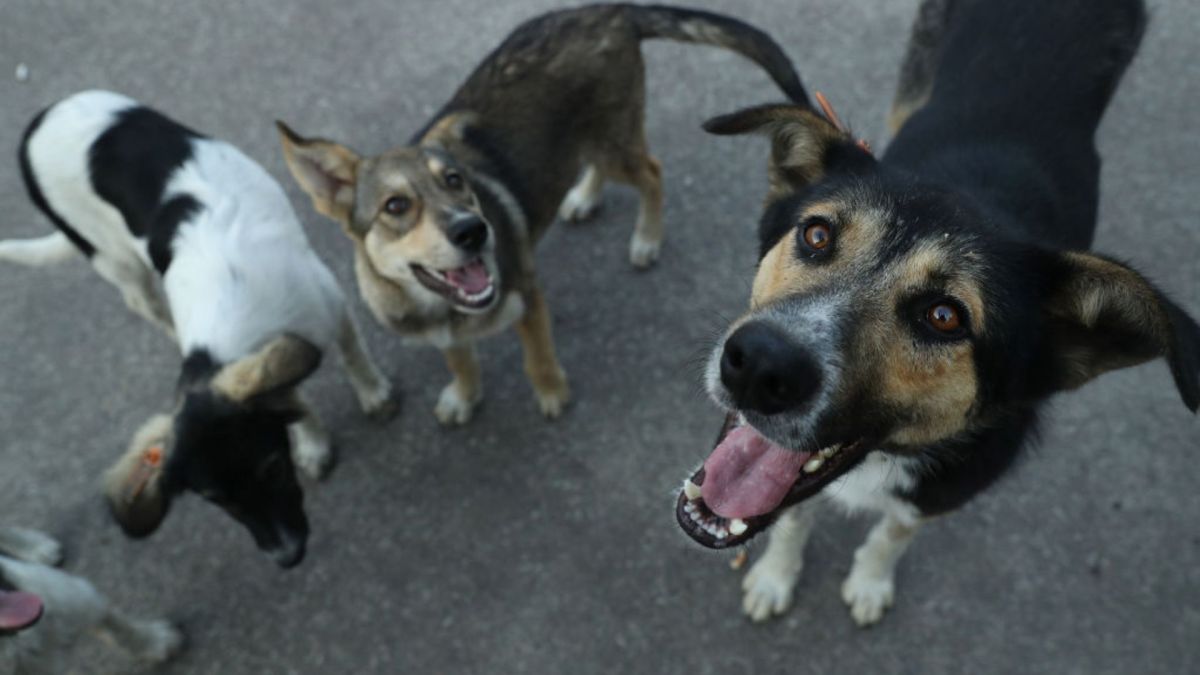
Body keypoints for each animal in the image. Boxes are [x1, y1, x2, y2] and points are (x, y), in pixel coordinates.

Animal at [2, 88, 400, 562]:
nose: (286, 557)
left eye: (271, 469)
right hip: (114, 262)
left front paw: (373, 393)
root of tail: (36, 126)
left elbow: (351, 354)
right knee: (144, 301)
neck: (228, 339)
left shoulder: (327, 300)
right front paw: (313, 440)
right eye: (217, 500)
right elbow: (292, 398)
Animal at [277, 5, 811, 422]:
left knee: (652, 173)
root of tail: (610, 11)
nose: (474, 232)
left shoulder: (528, 297)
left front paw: (552, 392)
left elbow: (537, 356)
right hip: (586, 140)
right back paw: (583, 196)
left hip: (612, 139)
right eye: (396, 206)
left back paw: (646, 238)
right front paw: (465, 395)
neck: (441, 304)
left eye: (455, 182)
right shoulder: (443, 333)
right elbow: (460, 360)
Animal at [672, 0, 1195, 624]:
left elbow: (893, 533)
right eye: (817, 235)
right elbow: (794, 514)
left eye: (945, 317)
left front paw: (869, 581)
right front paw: (777, 576)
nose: (758, 364)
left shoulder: (941, 494)